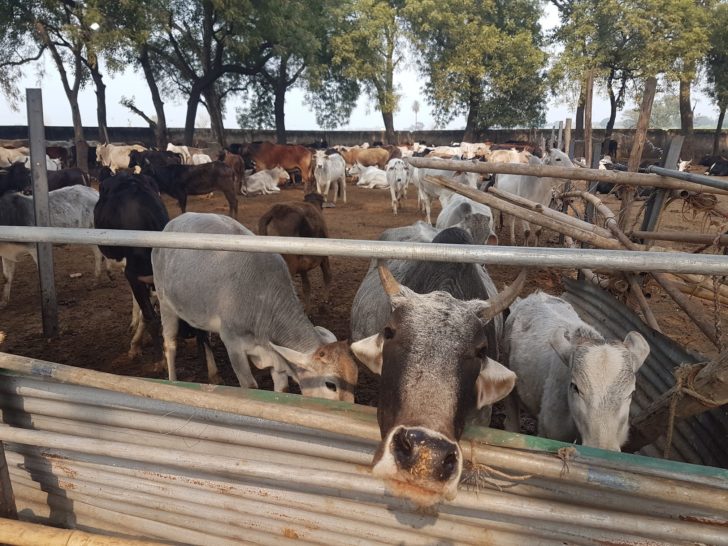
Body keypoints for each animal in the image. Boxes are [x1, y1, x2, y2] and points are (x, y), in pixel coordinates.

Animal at [94, 173, 170, 358]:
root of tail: (124, 174)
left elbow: (147, 314)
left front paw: (138, 342)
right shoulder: (134, 275)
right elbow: (149, 316)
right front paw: (157, 357)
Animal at [151, 212, 358, 400]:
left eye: (355, 379)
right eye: (331, 384)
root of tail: (174, 221)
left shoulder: (275, 356)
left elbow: (282, 389)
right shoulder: (233, 343)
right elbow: (249, 386)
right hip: (164, 301)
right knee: (170, 344)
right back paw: (172, 379)